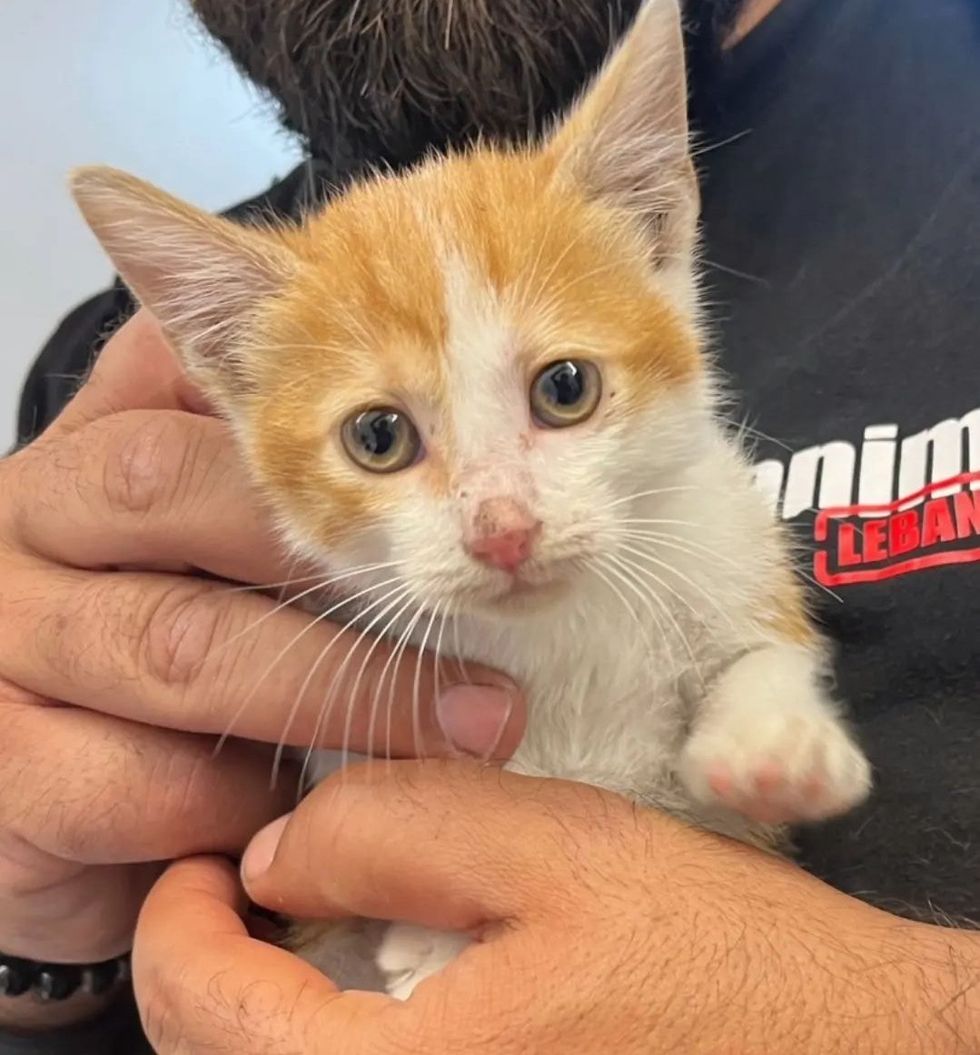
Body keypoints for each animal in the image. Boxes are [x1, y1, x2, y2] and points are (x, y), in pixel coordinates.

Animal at [72, 0, 869, 1004]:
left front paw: (775, 742)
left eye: (566, 387)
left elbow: (764, 654)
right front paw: (431, 945)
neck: (565, 641)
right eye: (378, 437)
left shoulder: (723, 540)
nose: (504, 530)